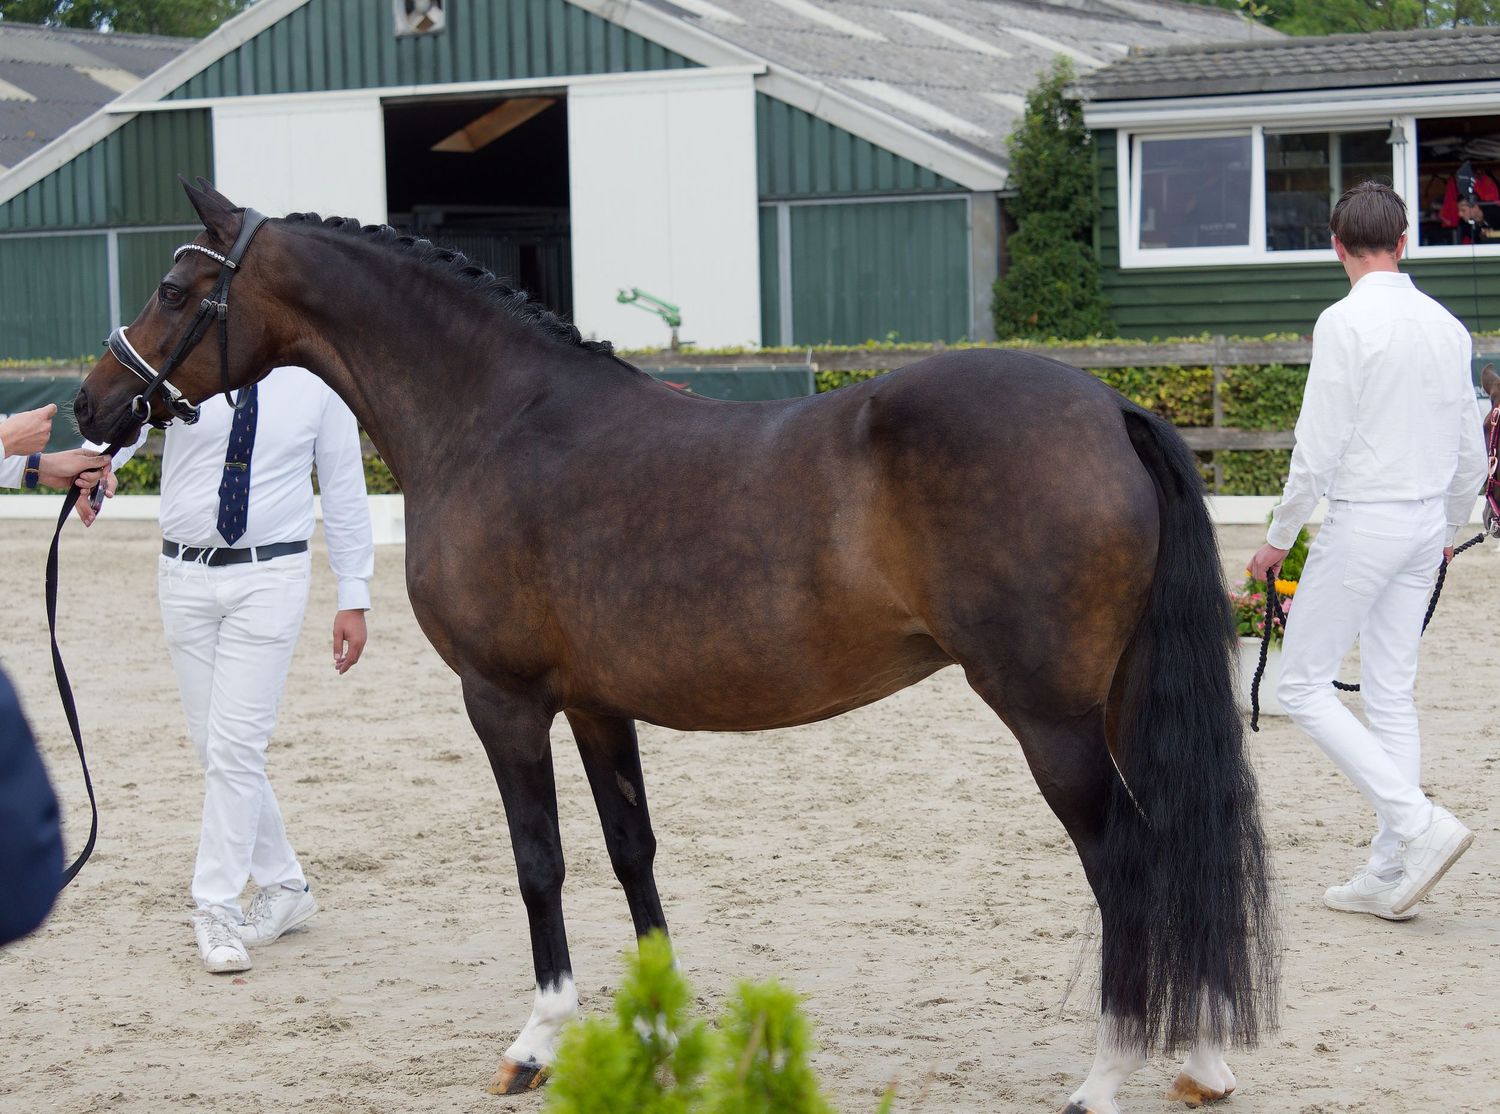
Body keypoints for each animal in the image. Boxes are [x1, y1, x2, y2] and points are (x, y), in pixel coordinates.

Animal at [74, 181, 1278, 1114]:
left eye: (176, 290)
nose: (95, 405)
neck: (496, 419)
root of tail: (1111, 407)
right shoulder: (598, 702)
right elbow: (630, 850)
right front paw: (657, 1031)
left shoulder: (502, 698)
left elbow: (540, 860)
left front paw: (539, 1040)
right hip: (1116, 698)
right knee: (1176, 847)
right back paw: (1204, 1057)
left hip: (1047, 716)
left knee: (1127, 860)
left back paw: (1108, 1074)